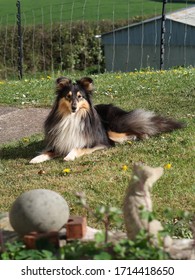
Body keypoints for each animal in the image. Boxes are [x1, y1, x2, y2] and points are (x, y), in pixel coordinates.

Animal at [29, 76, 185, 164]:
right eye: (68, 96)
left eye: (80, 96)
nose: (74, 107)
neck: (72, 117)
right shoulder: (60, 141)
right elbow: (48, 151)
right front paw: (36, 158)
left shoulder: (98, 142)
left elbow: (78, 147)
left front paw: (69, 156)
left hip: (113, 129)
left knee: (139, 129)